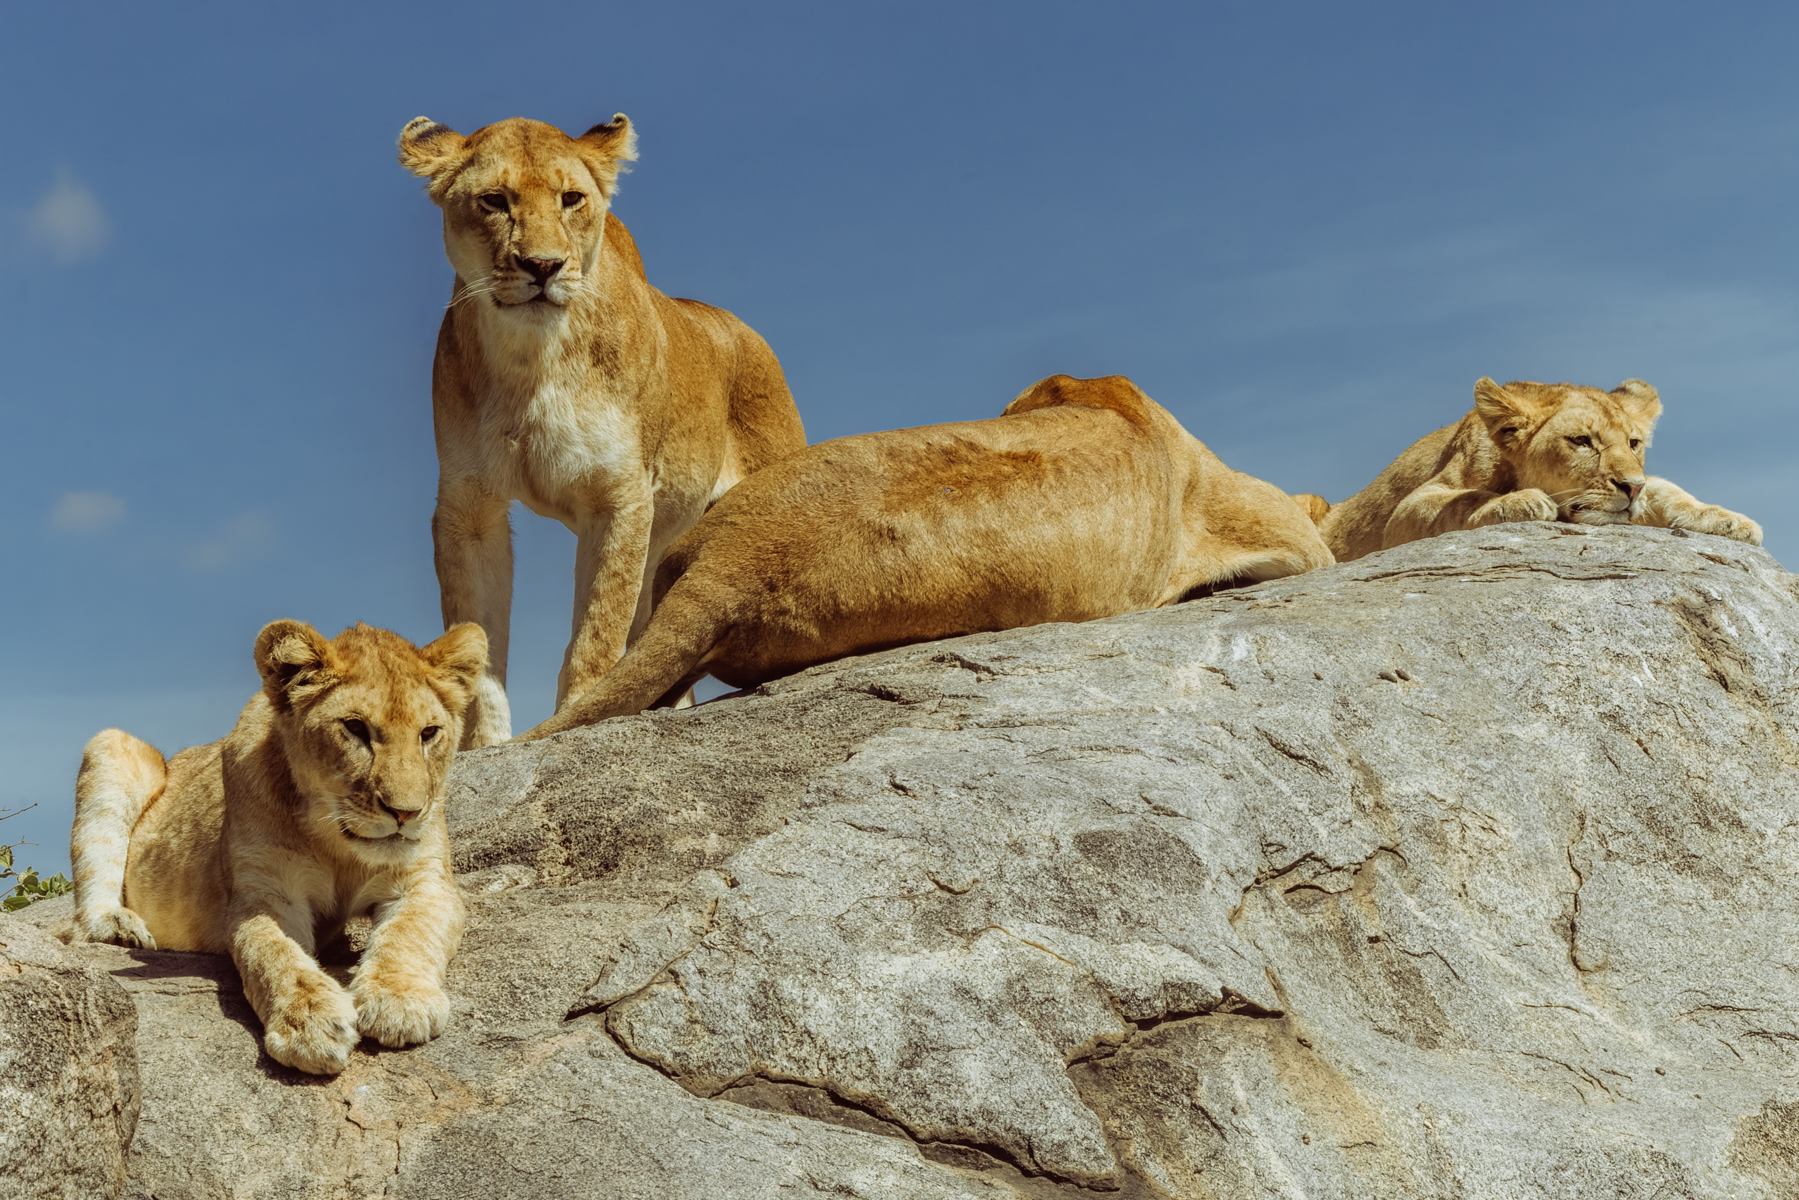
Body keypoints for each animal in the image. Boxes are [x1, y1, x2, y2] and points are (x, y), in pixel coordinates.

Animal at [67, 620, 487, 1076]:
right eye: (355, 728)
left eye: (429, 733)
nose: (405, 813)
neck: (337, 843)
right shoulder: (265, 893)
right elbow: (275, 954)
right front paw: (310, 1022)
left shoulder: (425, 880)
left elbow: (409, 933)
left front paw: (400, 1001)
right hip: (111, 746)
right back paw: (119, 927)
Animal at [398, 114, 808, 749]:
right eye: (495, 201)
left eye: (572, 199)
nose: (543, 266)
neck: (532, 361)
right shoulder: (469, 508)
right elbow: (477, 644)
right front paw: (480, 746)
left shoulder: (621, 497)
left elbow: (596, 632)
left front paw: (576, 717)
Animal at [1308, 376, 1763, 562]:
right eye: (1582, 442)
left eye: (1634, 444)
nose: (1631, 488)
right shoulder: (1405, 513)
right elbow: (1463, 499)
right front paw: (1522, 501)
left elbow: (1667, 490)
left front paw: (1729, 520)